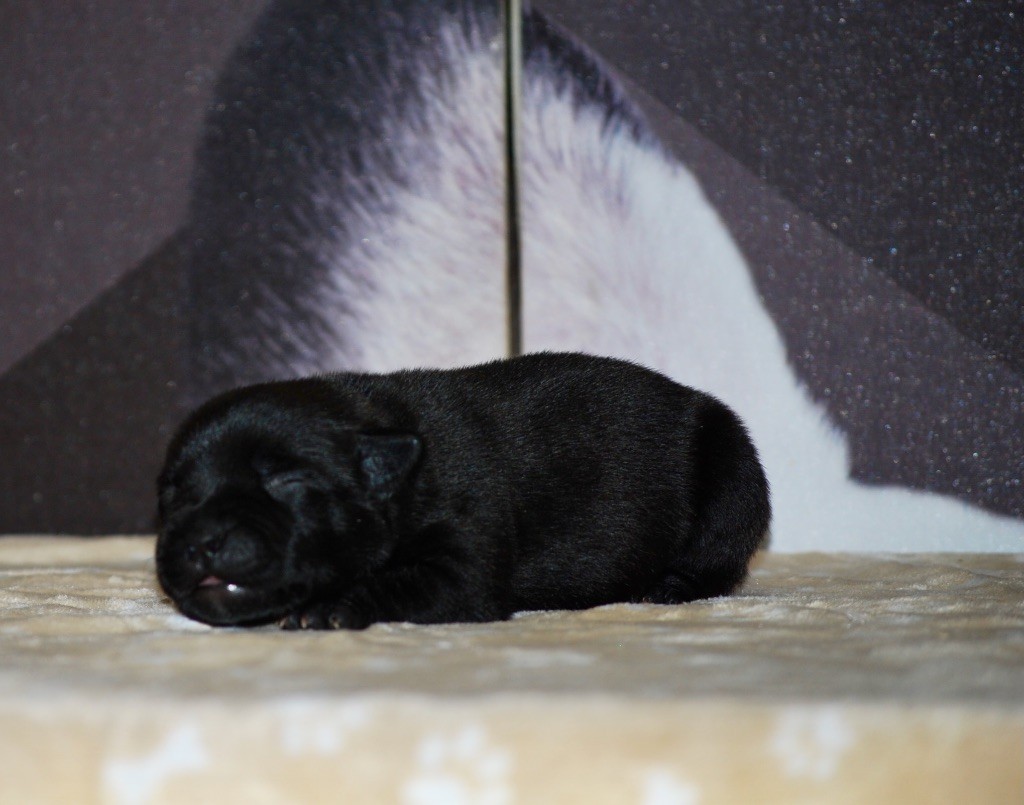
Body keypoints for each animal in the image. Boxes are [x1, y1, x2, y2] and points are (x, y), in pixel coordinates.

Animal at [156, 353, 770, 628]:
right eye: (174, 497)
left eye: (286, 481)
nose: (202, 543)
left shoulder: (464, 554)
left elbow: (398, 581)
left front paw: (329, 606)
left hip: (733, 476)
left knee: (718, 561)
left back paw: (667, 586)